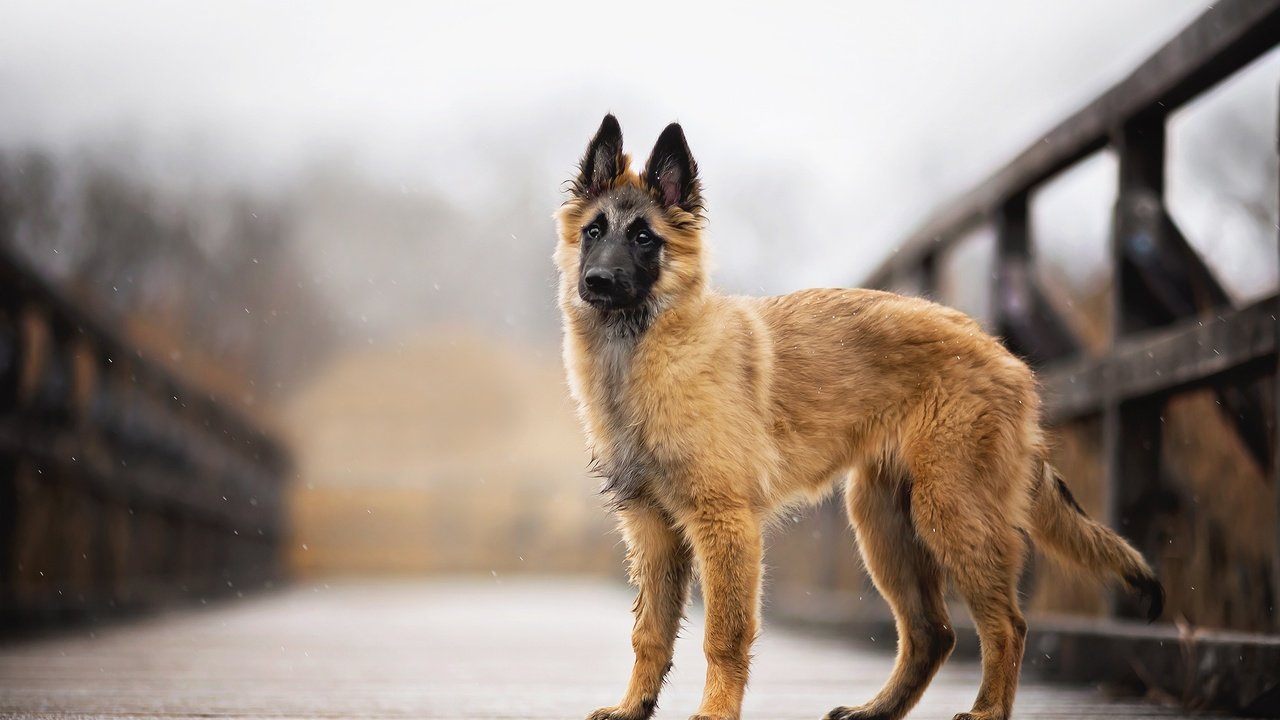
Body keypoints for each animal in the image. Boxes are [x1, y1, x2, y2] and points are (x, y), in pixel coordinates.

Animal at [550, 114, 1162, 717]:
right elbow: (649, 633)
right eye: (594, 232)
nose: (596, 282)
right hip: (882, 523)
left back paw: (986, 710)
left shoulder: (724, 524)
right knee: (933, 633)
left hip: (950, 512)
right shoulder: (652, 531)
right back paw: (877, 709)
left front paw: (715, 713)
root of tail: (1005, 355)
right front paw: (633, 707)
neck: (642, 351)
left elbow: (723, 634)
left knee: (1007, 625)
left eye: (644, 237)